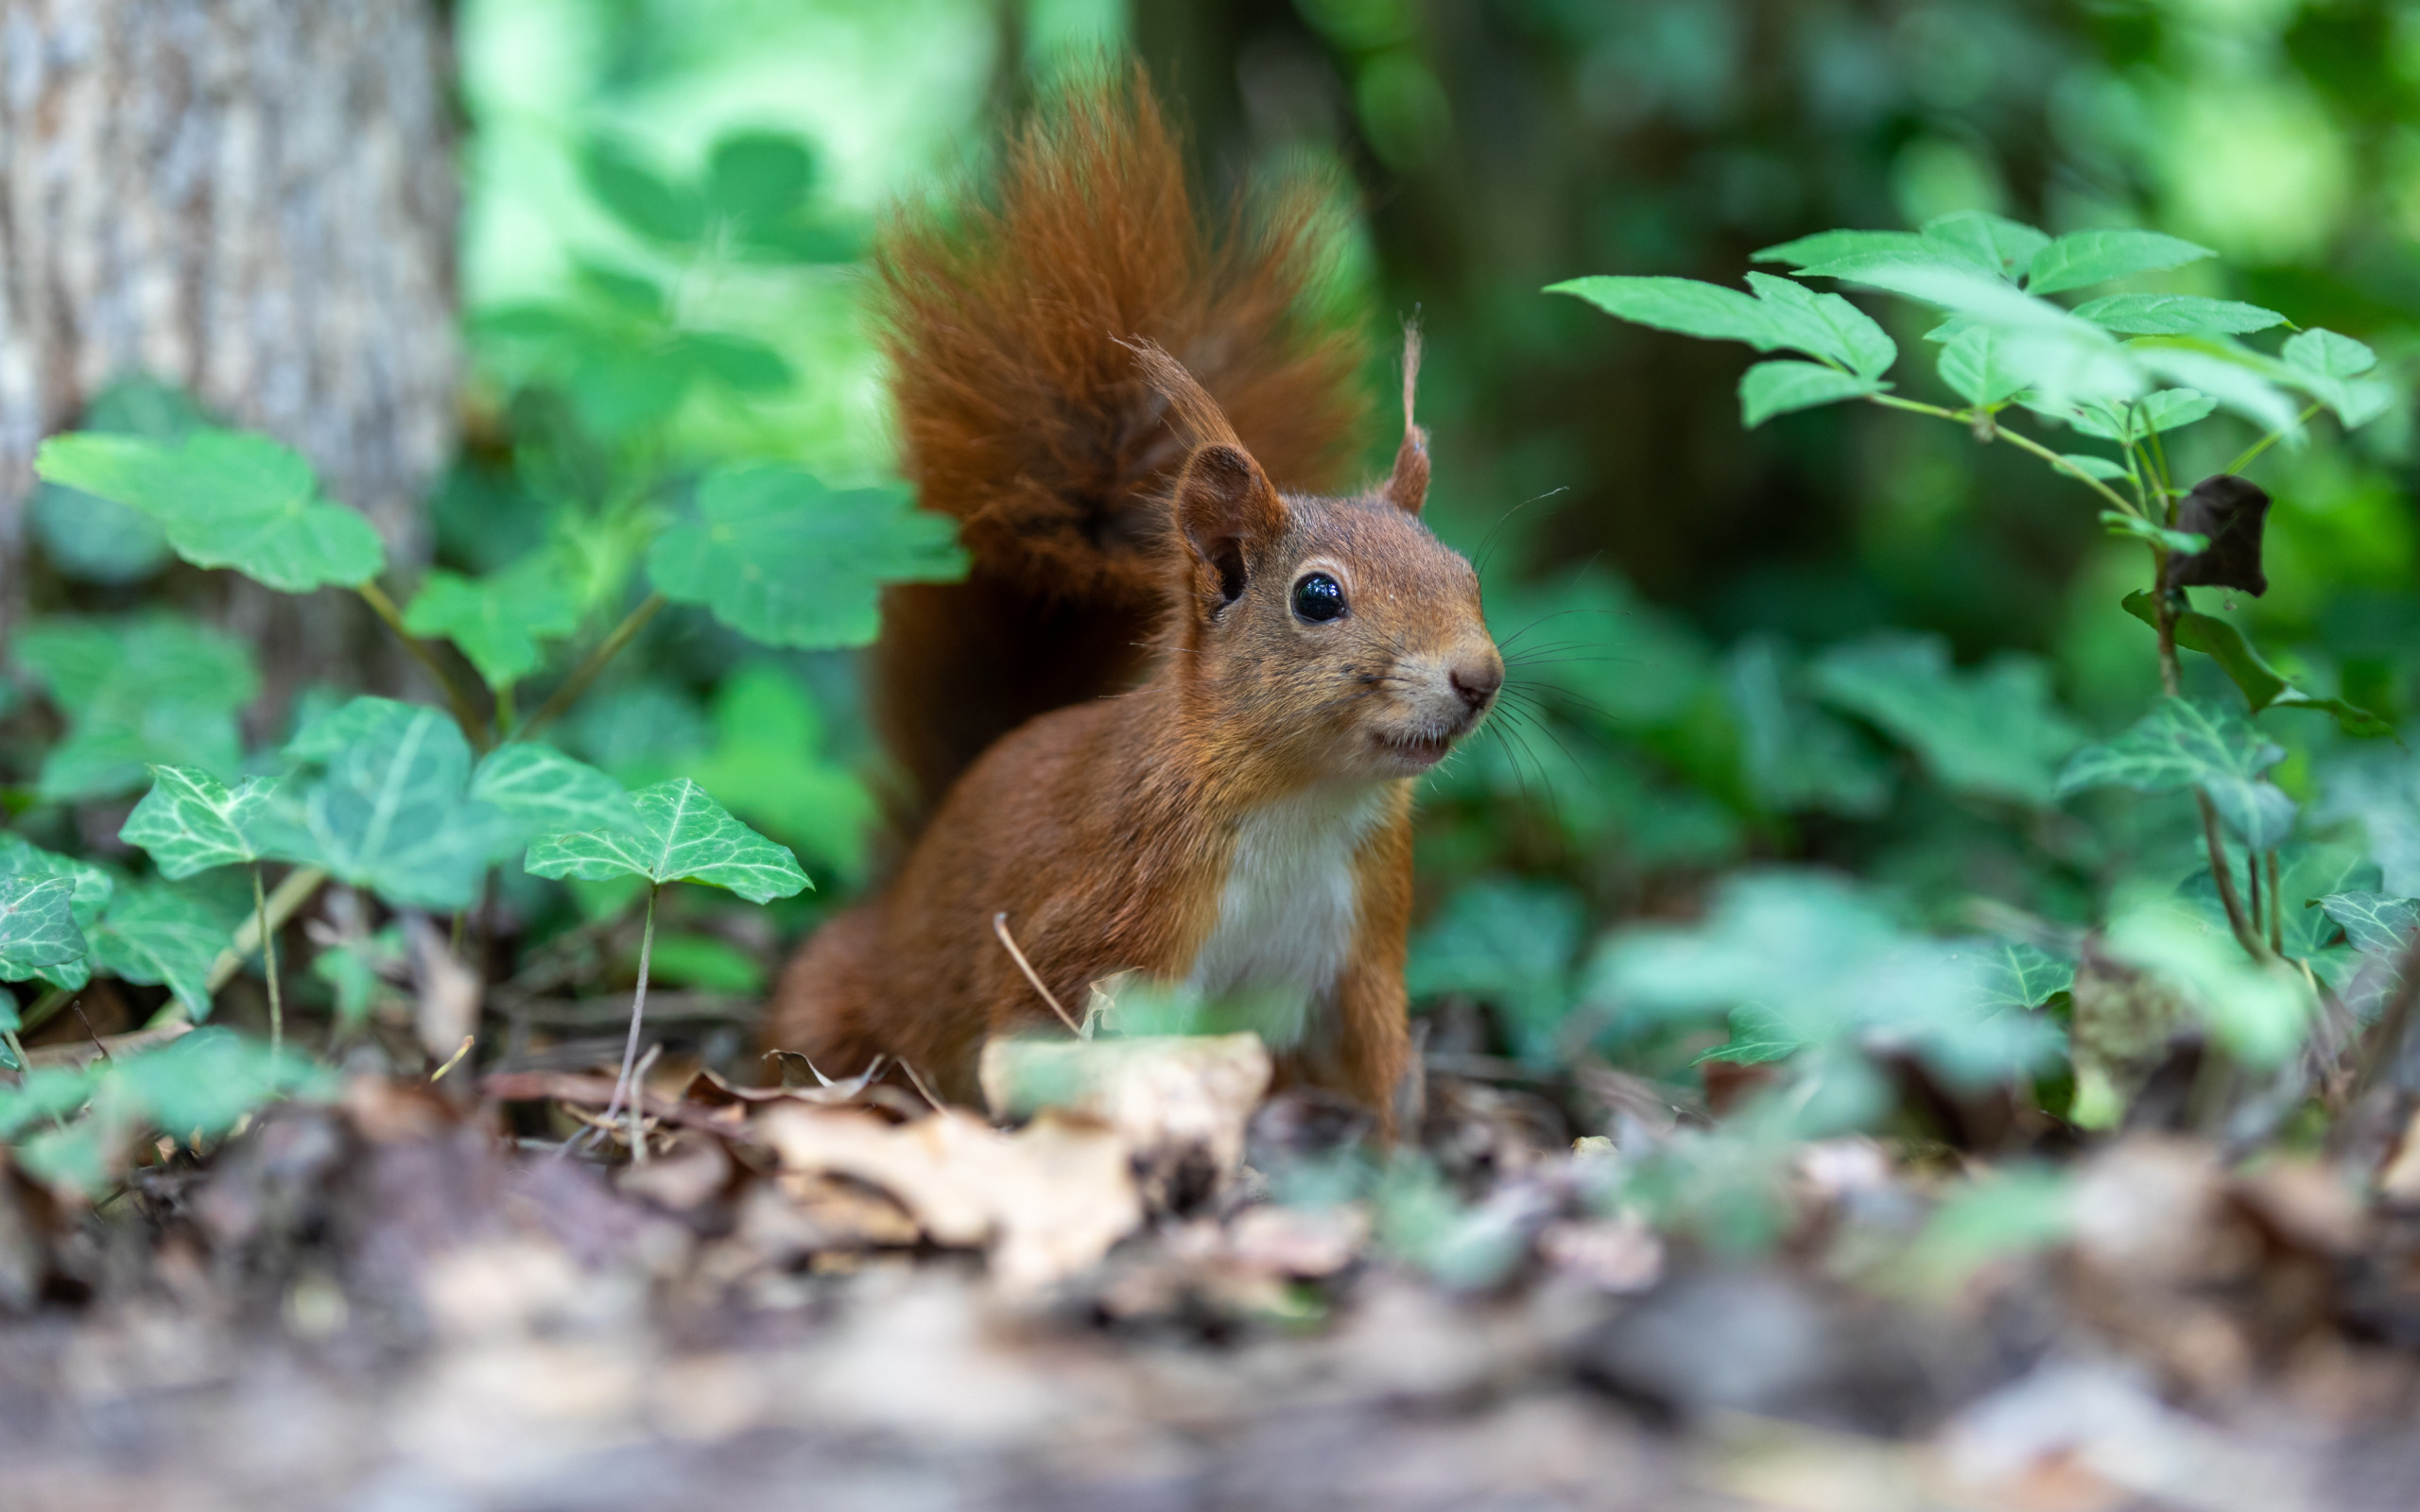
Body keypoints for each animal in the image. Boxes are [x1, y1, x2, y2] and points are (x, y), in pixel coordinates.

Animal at [764, 77, 1500, 1126]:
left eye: (1467, 572)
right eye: (1318, 596)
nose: (1479, 677)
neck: (1305, 802)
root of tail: (905, 875)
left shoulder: (1361, 959)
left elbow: (1376, 1080)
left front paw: (1395, 1154)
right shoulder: (1085, 931)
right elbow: (1037, 1049)